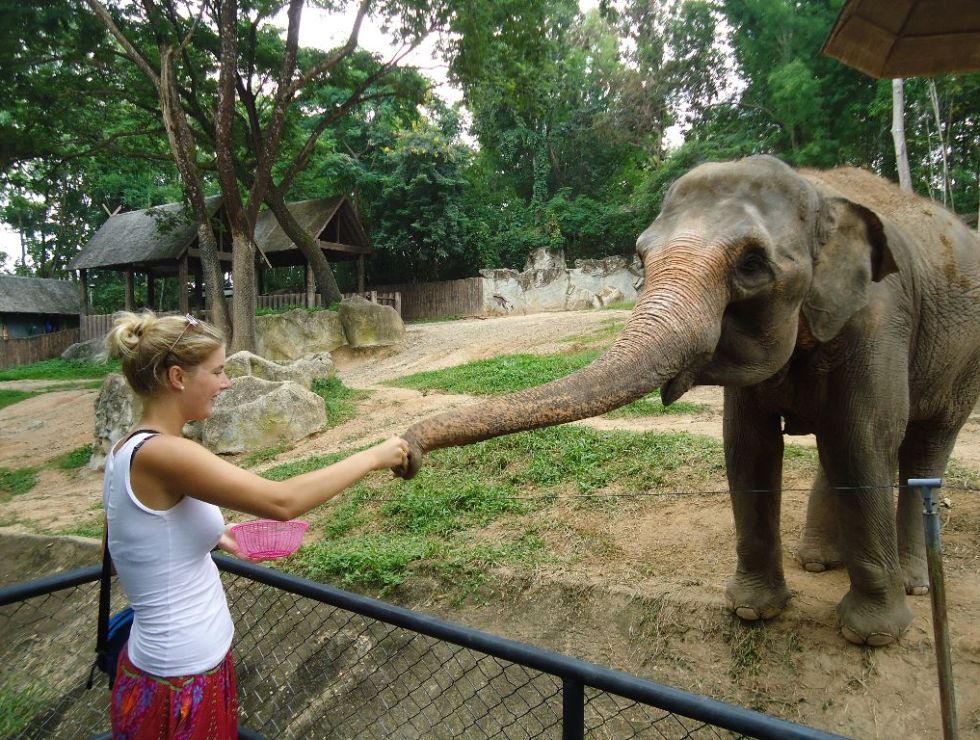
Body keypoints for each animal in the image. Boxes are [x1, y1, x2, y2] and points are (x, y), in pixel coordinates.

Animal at [394, 156, 980, 648]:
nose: (403, 454)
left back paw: (913, 583)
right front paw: (752, 611)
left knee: (919, 446)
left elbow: (862, 442)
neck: (816, 190)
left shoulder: (880, 319)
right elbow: (747, 449)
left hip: (963, 362)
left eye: (751, 265)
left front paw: (871, 637)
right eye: (640, 257)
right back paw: (817, 563)